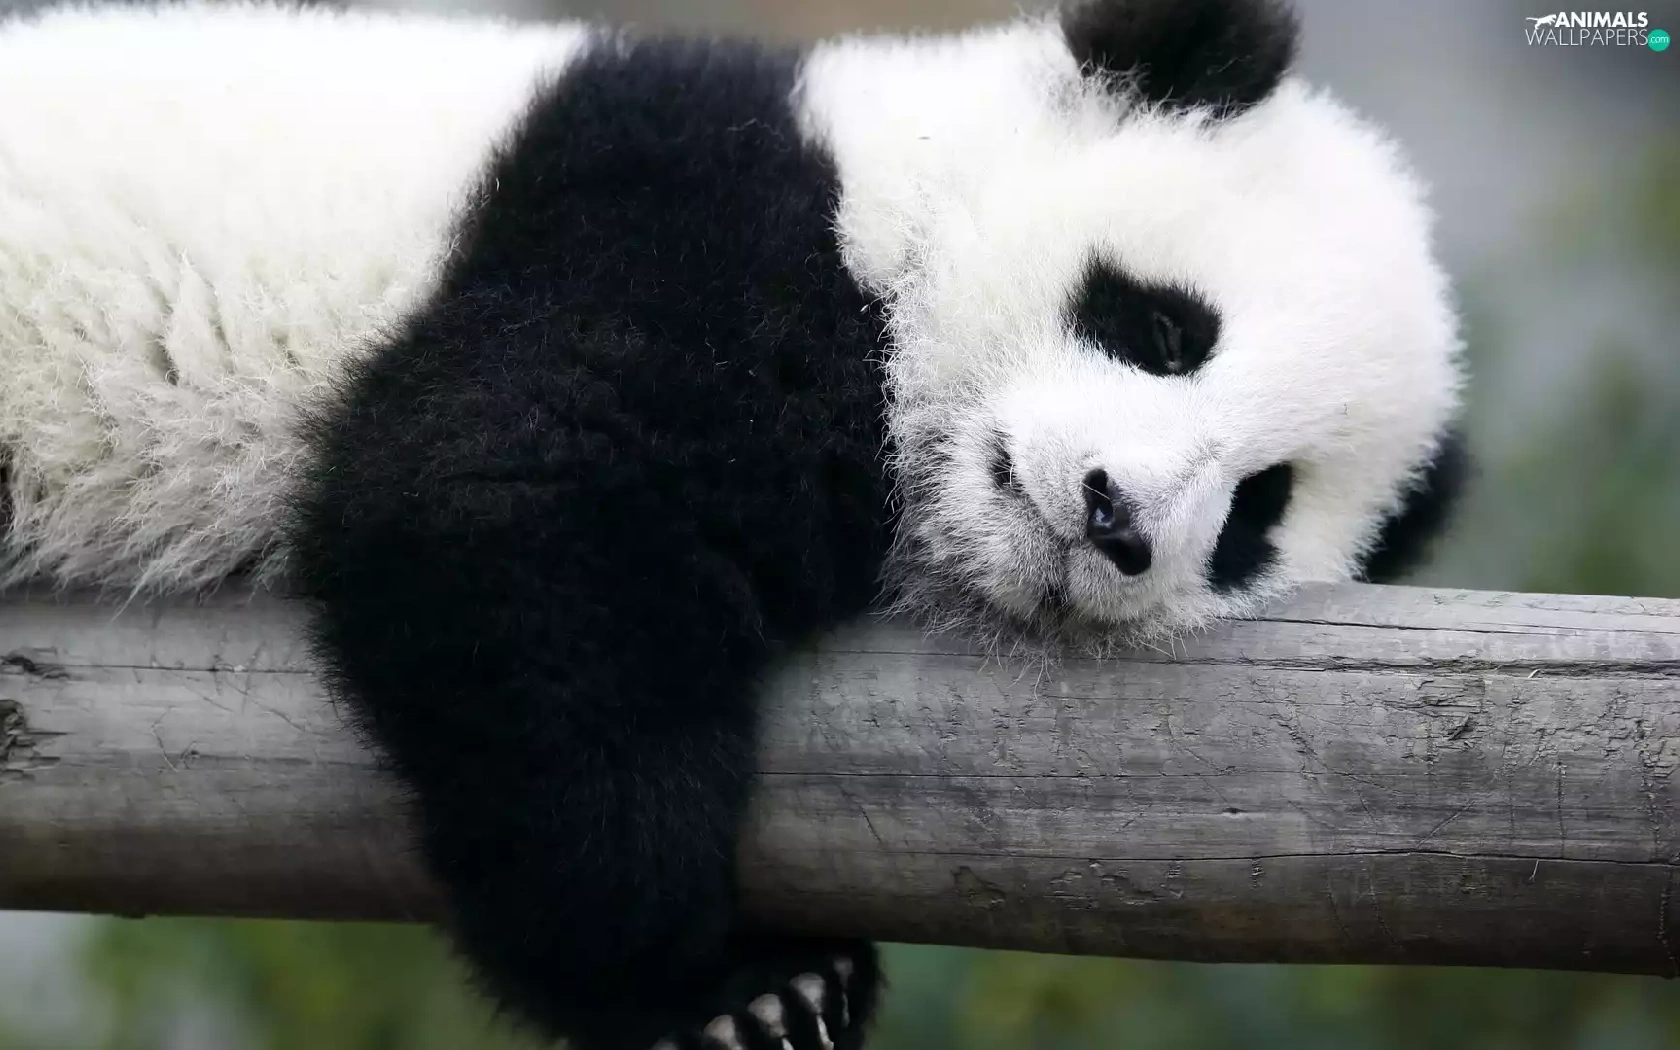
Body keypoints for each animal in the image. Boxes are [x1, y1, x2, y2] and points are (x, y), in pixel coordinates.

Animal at [0, 0, 1468, 1047]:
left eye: (1258, 510)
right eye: (1164, 327)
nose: (1117, 521)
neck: (894, 207)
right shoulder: (683, 232)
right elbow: (494, 505)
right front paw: (729, 991)